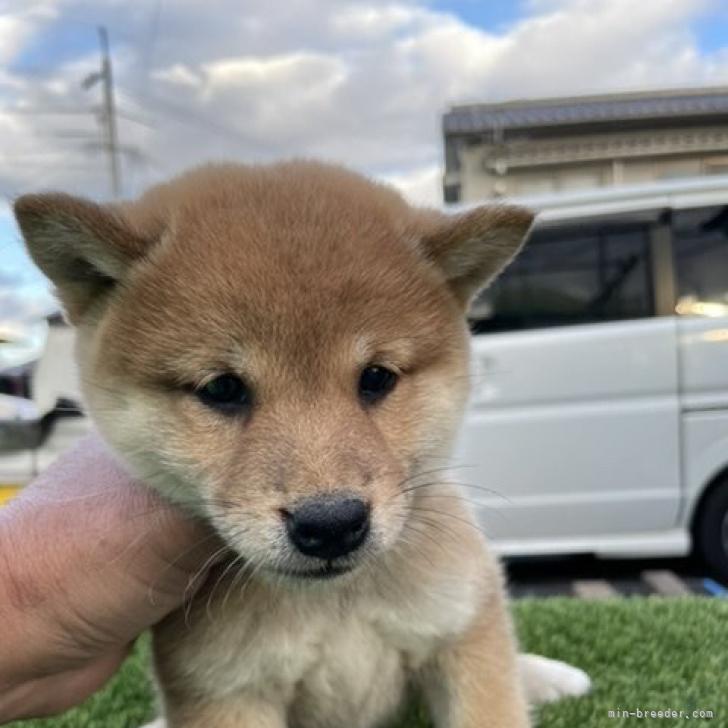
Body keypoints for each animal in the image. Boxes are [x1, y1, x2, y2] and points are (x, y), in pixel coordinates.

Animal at [14, 162, 588, 724]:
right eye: (222, 389)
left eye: (376, 378)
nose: (331, 524)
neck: (335, 604)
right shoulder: (224, 689)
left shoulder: (462, 628)